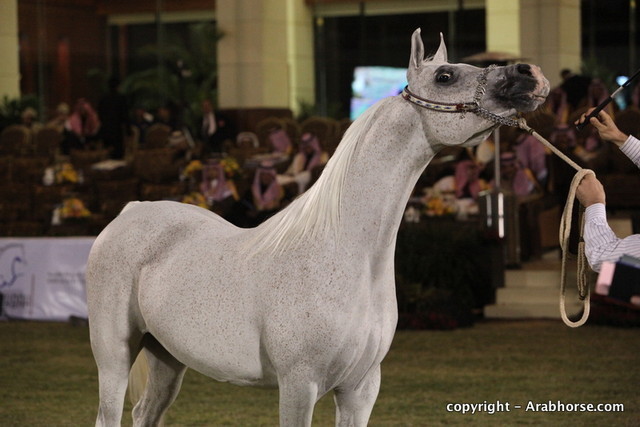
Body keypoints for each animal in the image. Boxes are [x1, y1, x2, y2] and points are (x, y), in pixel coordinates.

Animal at [86, 29, 549, 426]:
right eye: (445, 75)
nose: (530, 75)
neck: (343, 252)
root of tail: (129, 210)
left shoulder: (361, 389)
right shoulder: (299, 384)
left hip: (166, 356)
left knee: (144, 413)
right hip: (114, 356)